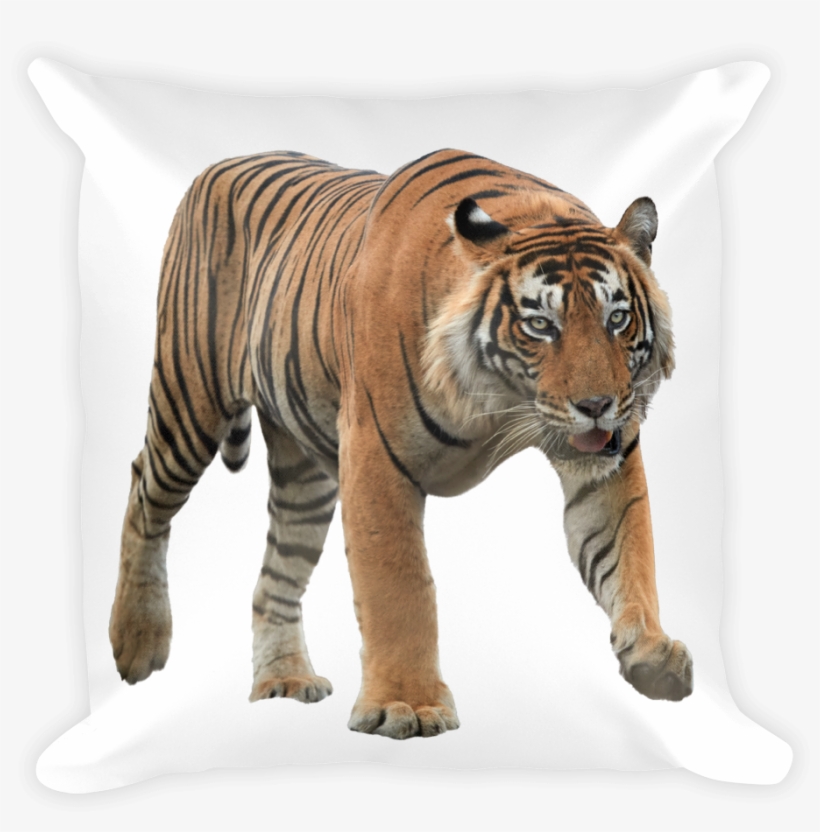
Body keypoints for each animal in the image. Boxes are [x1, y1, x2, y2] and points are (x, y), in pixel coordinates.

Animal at [109, 148, 693, 741]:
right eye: (539, 324)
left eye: (617, 318)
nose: (597, 405)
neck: (500, 399)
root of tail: (218, 164)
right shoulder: (375, 458)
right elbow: (399, 586)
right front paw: (406, 705)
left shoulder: (608, 465)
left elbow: (628, 550)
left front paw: (651, 652)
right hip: (189, 400)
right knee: (144, 489)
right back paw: (136, 642)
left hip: (305, 479)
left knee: (275, 573)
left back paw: (285, 679)